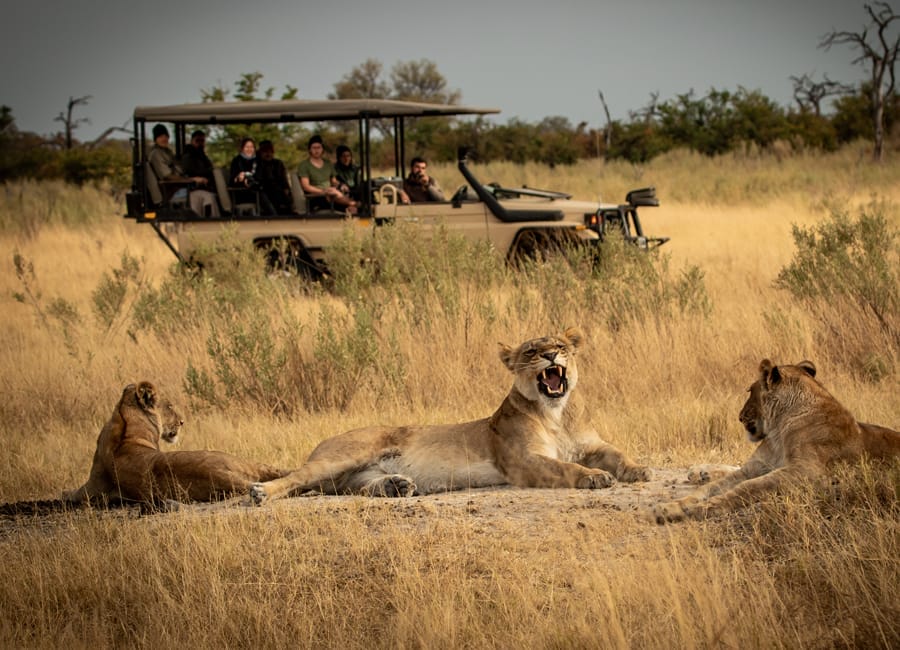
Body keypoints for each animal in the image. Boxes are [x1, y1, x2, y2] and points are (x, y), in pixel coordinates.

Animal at [250, 327, 650, 504]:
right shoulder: (524, 461)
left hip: (355, 474)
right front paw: (595, 477)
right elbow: (566, 467)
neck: (557, 413)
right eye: (531, 351)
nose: (551, 356)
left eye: (561, 346)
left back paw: (396, 486)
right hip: (342, 455)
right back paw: (260, 493)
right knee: (296, 478)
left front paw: (639, 469)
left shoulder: (593, 444)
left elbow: (618, 454)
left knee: (352, 487)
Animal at [649, 359, 900, 524]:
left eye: (750, 391)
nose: (739, 416)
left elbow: (747, 487)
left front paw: (702, 509)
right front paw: (671, 508)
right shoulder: (755, 467)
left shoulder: (806, 471)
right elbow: (714, 487)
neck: (779, 429)